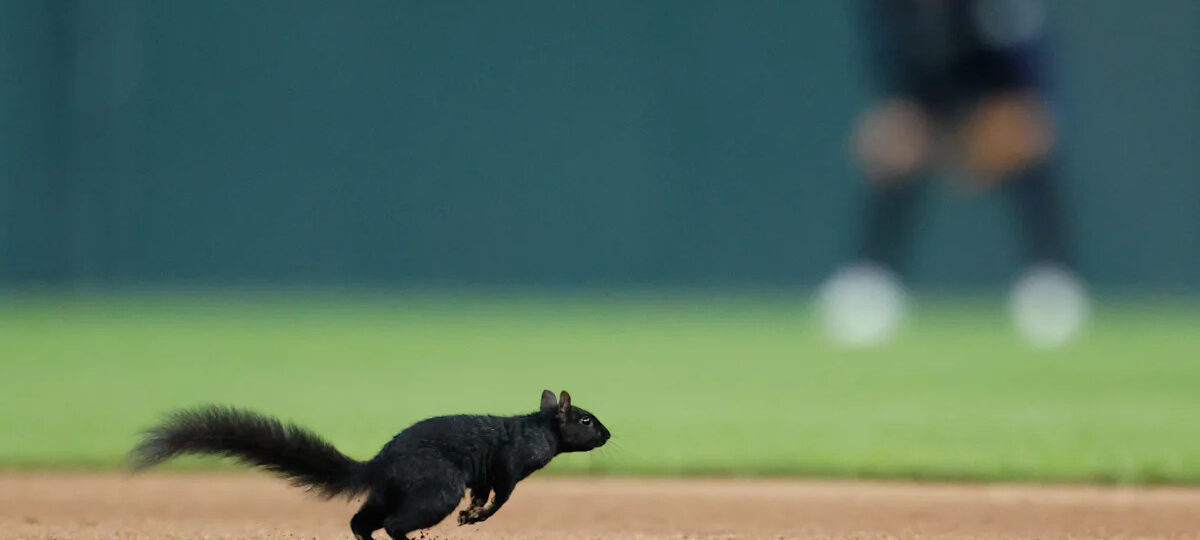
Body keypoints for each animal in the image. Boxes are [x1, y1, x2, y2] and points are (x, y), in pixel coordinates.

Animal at [129, 389, 611, 540]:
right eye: (586, 420)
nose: (608, 434)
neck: (539, 429)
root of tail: (378, 465)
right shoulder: (510, 465)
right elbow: (501, 496)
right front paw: (476, 516)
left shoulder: (488, 474)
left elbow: (483, 492)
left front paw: (472, 513)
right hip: (435, 490)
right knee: (394, 523)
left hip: (386, 493)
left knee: (361, 521)